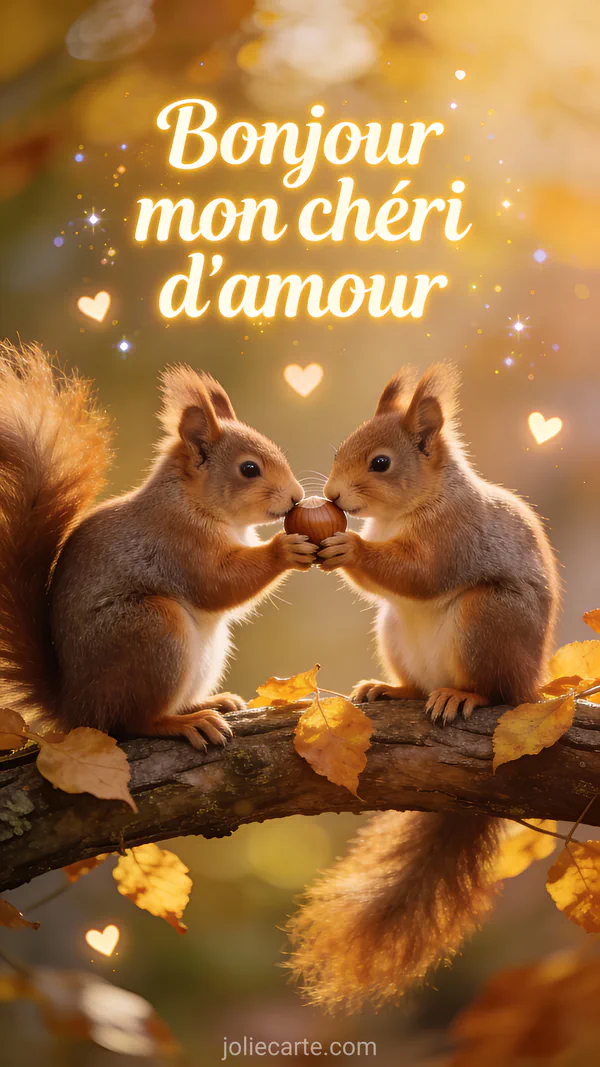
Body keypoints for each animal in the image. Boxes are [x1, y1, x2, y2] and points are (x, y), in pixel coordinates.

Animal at [0, 343, 316, 748]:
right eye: (249, 469)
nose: (296, 497)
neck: (189, 501)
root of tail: (75, 707)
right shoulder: (178, 544)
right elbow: (219, 584)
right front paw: (285, 549)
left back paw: (210, 702)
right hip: (153, 630)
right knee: (133, 721)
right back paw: (185, 723)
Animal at [286, 363, 559, 1012]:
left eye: (381, 463)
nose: (334, 498)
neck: (419, 504)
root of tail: (530, 681)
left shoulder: (453, 539)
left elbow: (417, 574)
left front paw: (349, 544)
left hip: (487, 623)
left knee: (494, 689)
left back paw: (465, 696)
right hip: (394, 633)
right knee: (413, 674)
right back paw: (395, 692)